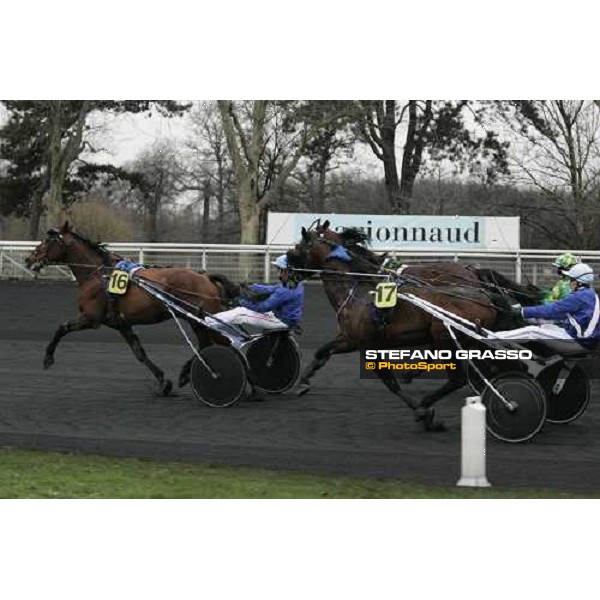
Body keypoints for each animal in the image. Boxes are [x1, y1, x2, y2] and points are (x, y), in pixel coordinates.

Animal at [24, 223, 238, 396]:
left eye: (48, 240)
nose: (28, 259)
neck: (98, 274)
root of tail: (206, 278)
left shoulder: (90, 318)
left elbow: (62, 327)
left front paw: (48, 358)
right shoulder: (121, 323)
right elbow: (139, 352)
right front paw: (162, 382)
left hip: (198, 319)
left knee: (213, 344)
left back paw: (197, 373)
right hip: (200, 320)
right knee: (215, 344)